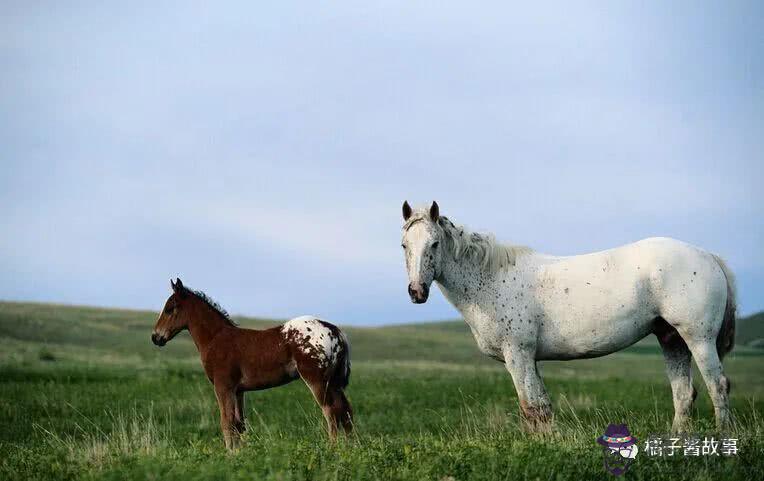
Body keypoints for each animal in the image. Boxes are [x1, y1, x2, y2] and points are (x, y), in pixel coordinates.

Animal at [153, 276, 356, 448]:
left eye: (170, 308)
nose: (155, 337)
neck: (216, 338)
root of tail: (336, 331)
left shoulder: (223, 386)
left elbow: (226, 422)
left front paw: (230, 456)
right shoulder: (238, 390)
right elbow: (238, 424)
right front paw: (239, 453)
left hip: (317, 380)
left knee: (330, 412)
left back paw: (332, 448)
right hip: (334, 383)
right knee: (345, 411)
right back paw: (352, 447)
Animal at [402, 201, 736, 430]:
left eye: (434, 244)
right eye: (405, 245)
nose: (416, 291)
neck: (492, 280)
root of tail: (708, 256)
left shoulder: (518, 355)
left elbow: (530, 407)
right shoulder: (530, 359)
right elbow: (542, 408)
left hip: (698, 338)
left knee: (717, 385)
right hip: (672, 339)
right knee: (684, 393)